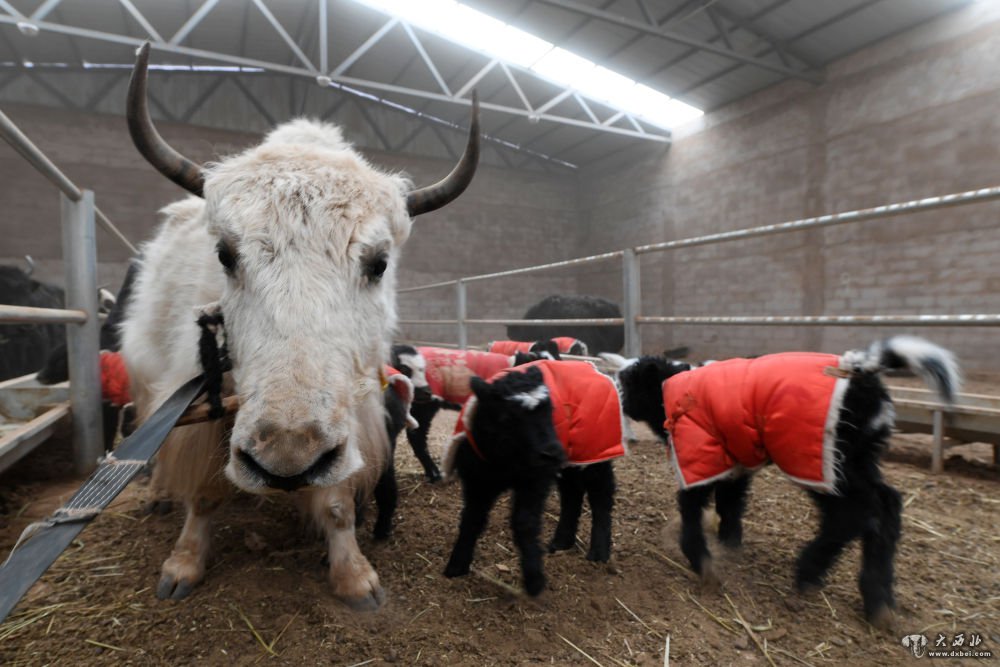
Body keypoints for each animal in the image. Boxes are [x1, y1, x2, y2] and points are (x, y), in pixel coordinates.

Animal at [444, 362, 624, 596]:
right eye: (507, 418)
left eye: (551, 410)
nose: (552, 452)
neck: (502, 462)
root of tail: (588, 366)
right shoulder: (476, 481)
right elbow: (471, 519)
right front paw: (456, 566)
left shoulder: (534, 480)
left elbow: (524, 522)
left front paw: (534, 580)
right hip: (571, 457)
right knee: (572, 494)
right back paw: (561, 542)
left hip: (596, 448)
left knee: (601, 496)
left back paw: (599, 552)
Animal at [604, 340, 956, 632]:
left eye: (627, 383)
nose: (614, 398)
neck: (671, 389)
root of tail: (862, 370)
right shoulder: (736, 457)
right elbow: (730, 503)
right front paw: (729, 544)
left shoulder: (699, 451)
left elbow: (692, 506)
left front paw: (703, 561)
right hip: (859, 457)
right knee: (886, 506)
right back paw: (878, 600)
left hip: (819, 458)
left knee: (853, 514)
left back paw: (810, 571)